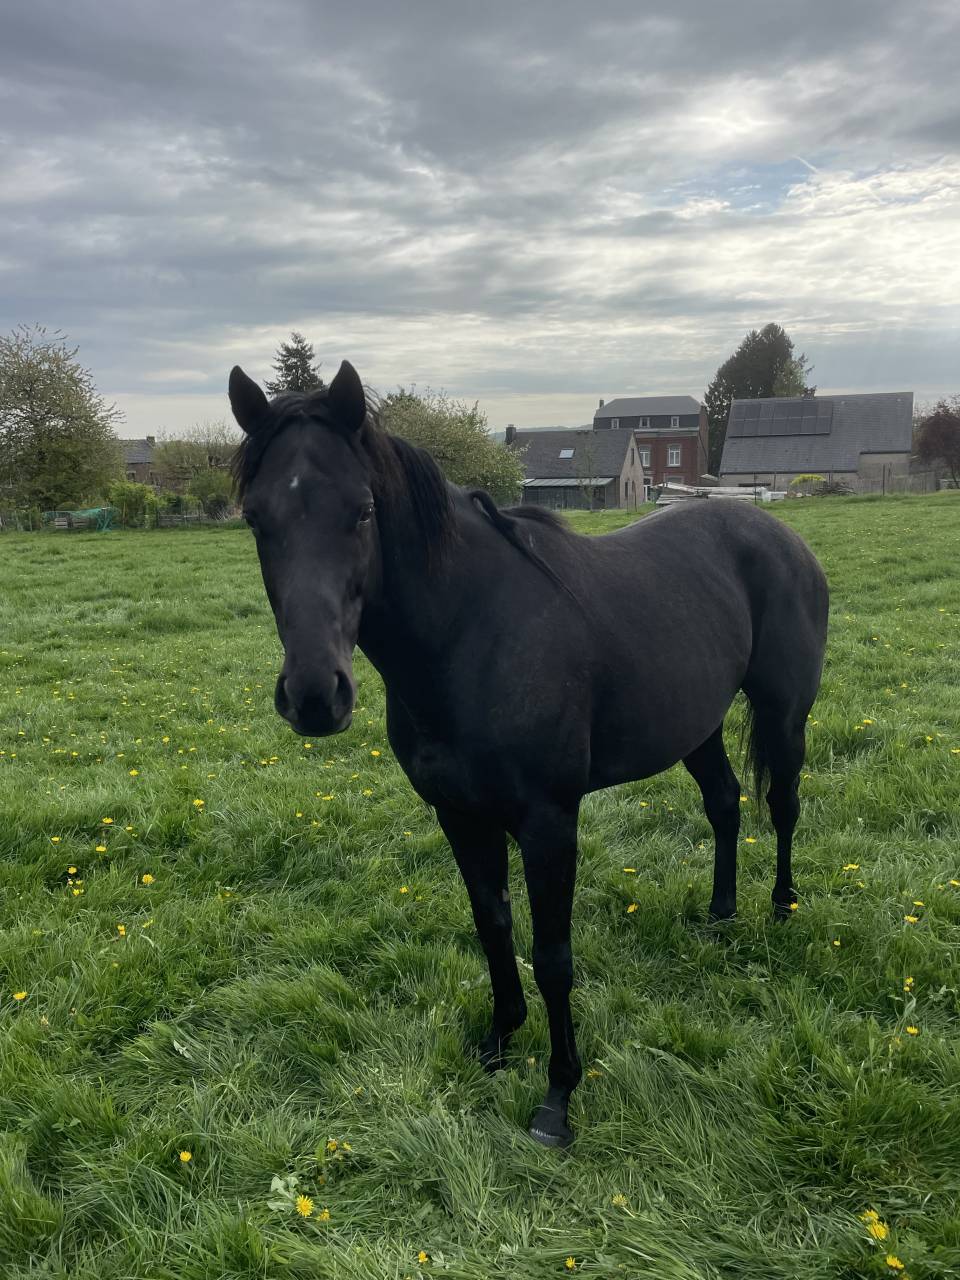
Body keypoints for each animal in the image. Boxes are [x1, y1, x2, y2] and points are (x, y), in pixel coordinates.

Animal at [228, 359, 829, 1148]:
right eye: (255, 518)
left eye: (361, 511)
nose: (314, 695)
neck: (472, 633)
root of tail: (781, 534)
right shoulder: (459, 817)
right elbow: (493, 928)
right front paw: (499, 1040)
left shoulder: (548, 823)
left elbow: (553, 958)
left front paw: (558, 1097)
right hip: (693, 726)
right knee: (725, 805)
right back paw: (720, 914)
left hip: (786, 715)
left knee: (782, 806)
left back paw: (782, 908)